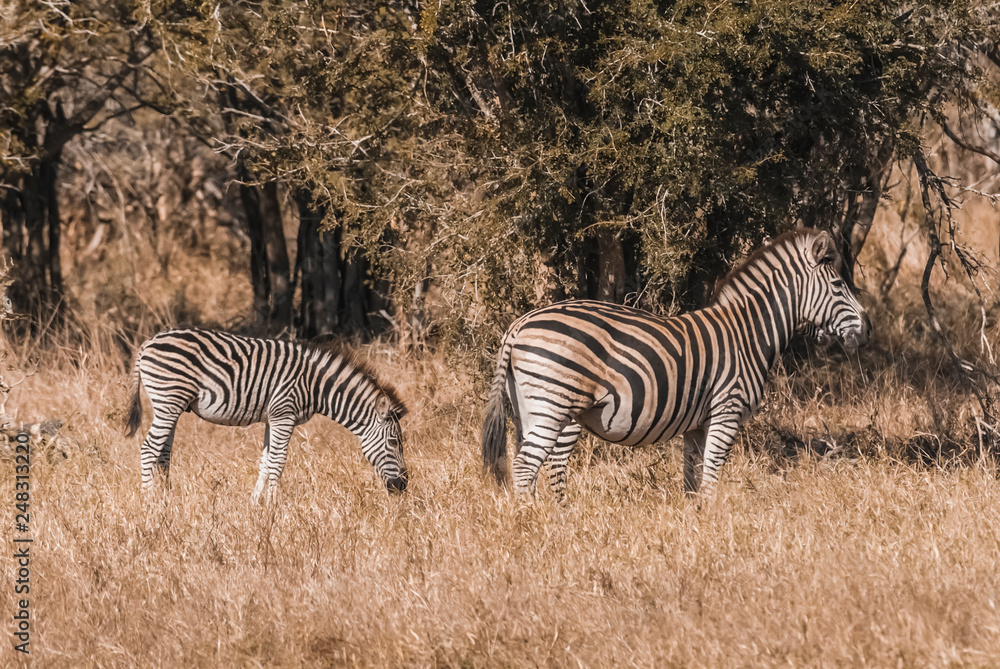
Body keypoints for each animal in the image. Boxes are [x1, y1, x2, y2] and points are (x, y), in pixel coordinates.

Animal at [125, 328, 408, 502]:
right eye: (394, 442)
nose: (402, 486)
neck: (316, 386)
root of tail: (148, 343)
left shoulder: (274, 417)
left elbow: (265, 462)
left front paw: (254, 505)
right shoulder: (285, 414)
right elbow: (278, 462)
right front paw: (273, 507)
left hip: (170, 405)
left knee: (163, 454)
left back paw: (167, 500)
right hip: (169, 400)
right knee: (149, 449)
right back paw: (149, 501)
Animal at [481, 228, 870, 500]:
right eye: (839, 285)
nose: (866, 329)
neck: (748, 334)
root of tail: (519, 324)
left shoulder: (696, 424)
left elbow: (692, 479)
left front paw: (694, 523)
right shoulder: (726, 412)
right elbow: (711, 477)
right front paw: (713, 522)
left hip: (534, 408)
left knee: (539, 465)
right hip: (554, 404)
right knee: (525, 466)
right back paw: (533, 523)